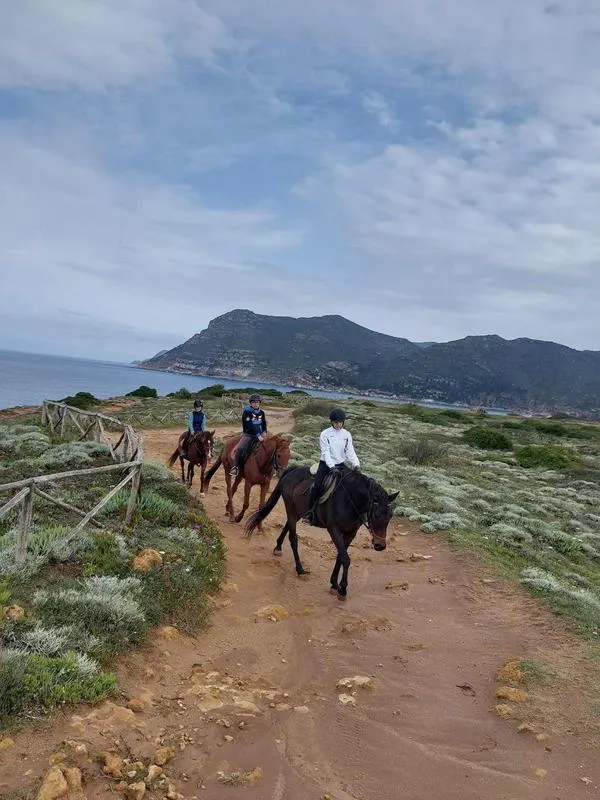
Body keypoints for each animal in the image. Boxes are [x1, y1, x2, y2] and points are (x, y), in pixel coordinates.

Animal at [245, 465, 398, 600]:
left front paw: (334, 584)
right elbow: (346, 558)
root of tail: (293, 469)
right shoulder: (334, 530)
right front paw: (343, 589)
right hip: (291, 510)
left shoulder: (351, 533)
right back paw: (300, 569)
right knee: (293, 538)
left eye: (390, 515)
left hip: (297, 512)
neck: (349, 500)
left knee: (287, 526)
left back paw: (278, 547)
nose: (380, 546)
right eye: (376, 515)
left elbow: (340, 556)